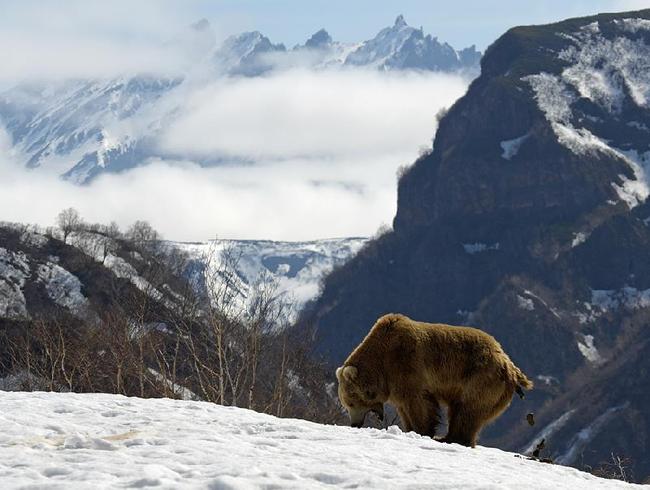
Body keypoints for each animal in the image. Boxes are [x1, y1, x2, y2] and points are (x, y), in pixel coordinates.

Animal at [334, 314, 532, 448]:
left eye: (350, 403)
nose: (354, 424)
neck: (381, 362)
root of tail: (508, 363)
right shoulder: (395, 381)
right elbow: (404, 406)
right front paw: (409, 429)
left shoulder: (406, 364)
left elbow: (418, 403)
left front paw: (423, 430)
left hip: (480, 377)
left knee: (468, 409)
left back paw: (452, 438)